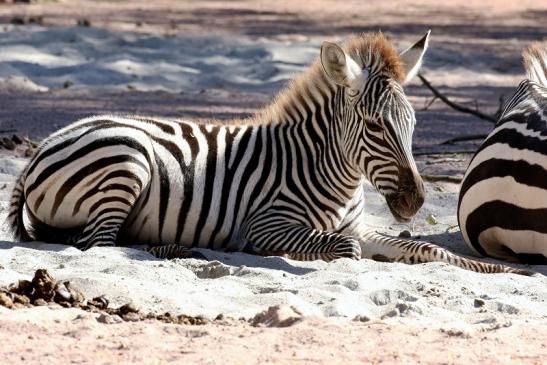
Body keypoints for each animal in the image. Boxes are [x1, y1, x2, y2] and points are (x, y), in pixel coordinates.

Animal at [7, 32, 532, 272]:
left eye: (413, 125)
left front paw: (494, 268)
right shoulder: (266, 225)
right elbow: (345, 250)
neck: (334, 175)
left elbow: (427, 248)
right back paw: (172, 248)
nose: (417, 201)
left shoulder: (359, 224)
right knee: (97, 244)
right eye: (373, 126)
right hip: (126, 159)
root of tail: (40, 148)